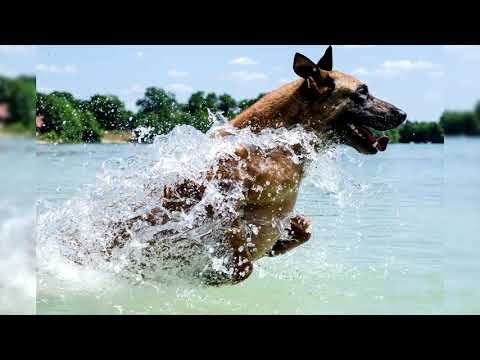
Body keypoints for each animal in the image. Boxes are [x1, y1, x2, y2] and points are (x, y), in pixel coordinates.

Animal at [105, 46, 404, 286]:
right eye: (362, 92)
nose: (403, 113)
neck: (278, 143)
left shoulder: (277, 212)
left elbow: (304, 228)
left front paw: (277, 246)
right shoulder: (219, 198)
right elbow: (241, 259)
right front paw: (214, 274)